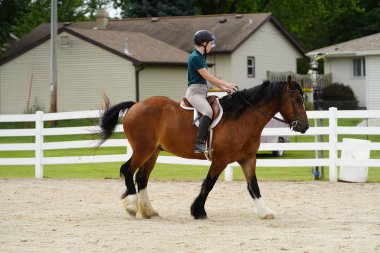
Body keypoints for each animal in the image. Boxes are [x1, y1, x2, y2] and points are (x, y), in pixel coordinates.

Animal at [97, 76, 308, 219]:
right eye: (296, 99)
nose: (304, 126)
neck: (243, 118)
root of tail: (135, 105)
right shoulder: (221, 159)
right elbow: (209, 183)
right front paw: (198, 211)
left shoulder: (248, 158)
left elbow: (253, 186)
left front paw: (265, 212)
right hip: (143, 150)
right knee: (127, 170)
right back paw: (132, 206)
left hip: (153, 152)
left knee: (141, 178)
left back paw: (149, 211)